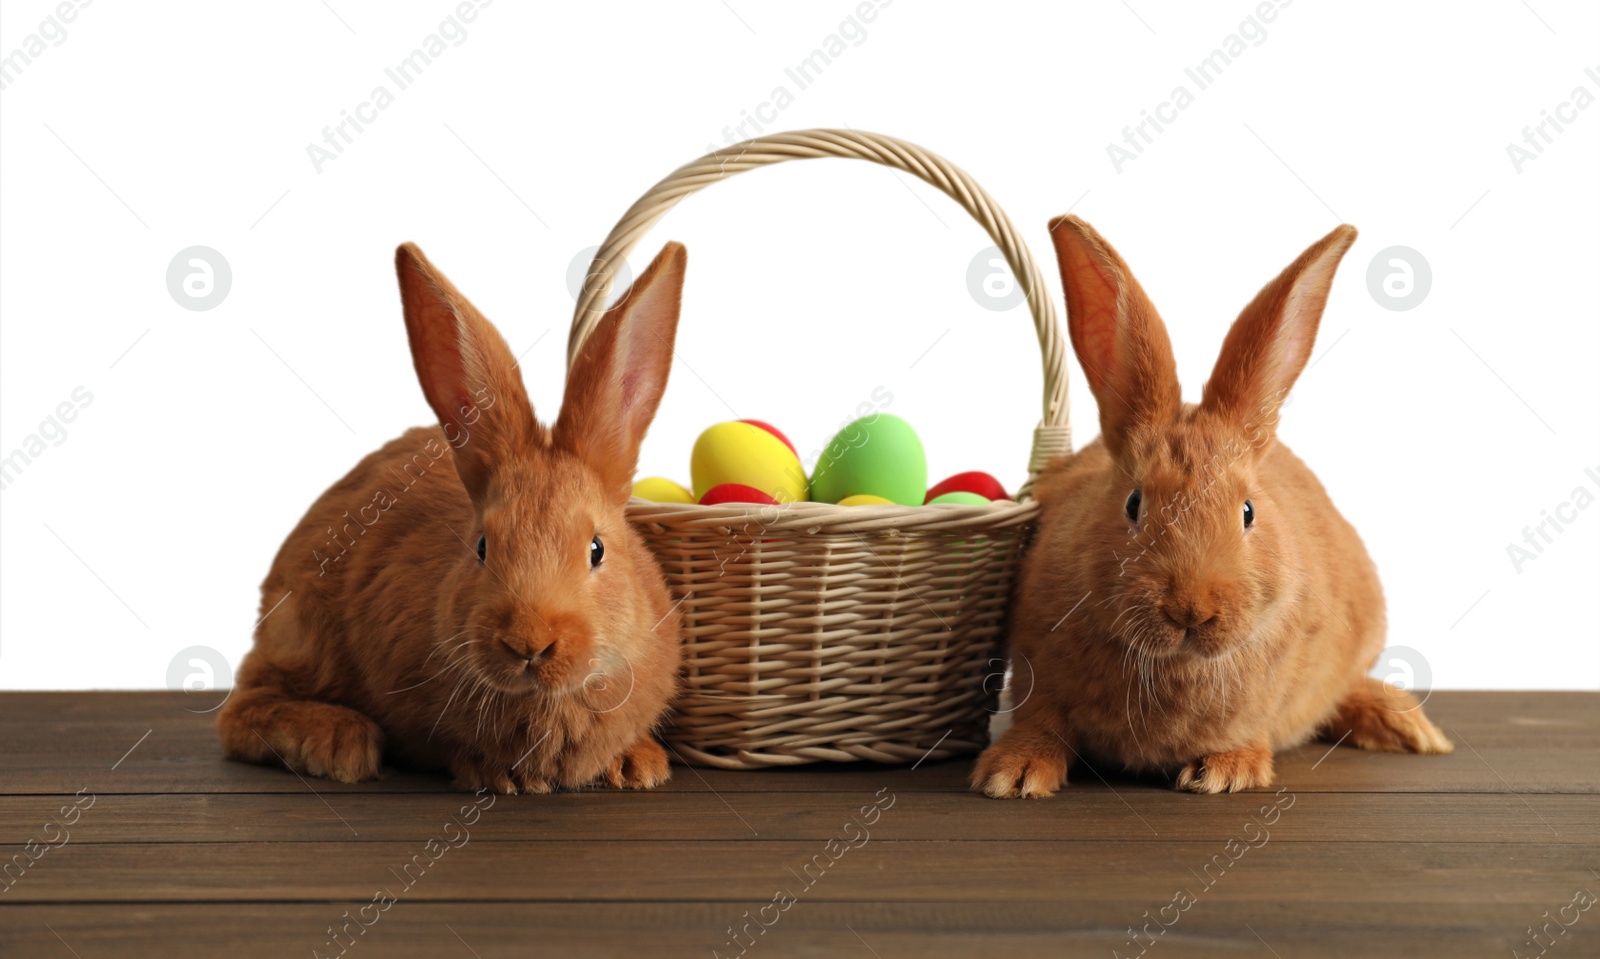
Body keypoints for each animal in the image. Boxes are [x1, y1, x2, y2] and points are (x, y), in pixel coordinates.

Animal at [216, 241, 684, 794]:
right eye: (481, 547)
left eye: (597, 549)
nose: (529, 642)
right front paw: (497, 775)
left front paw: (639, 765)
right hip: (303, 635)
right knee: (239, 711)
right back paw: (339, 744)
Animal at [966, 219, 1459, 803]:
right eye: (1134, 503)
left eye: (1247, 512)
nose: (1190, 610)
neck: (1175, 665)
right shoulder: (1034, 678)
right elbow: (1040, 724)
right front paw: (1010, 774)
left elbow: (1251, 733)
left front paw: (1225, 771)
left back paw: (1408, 728)